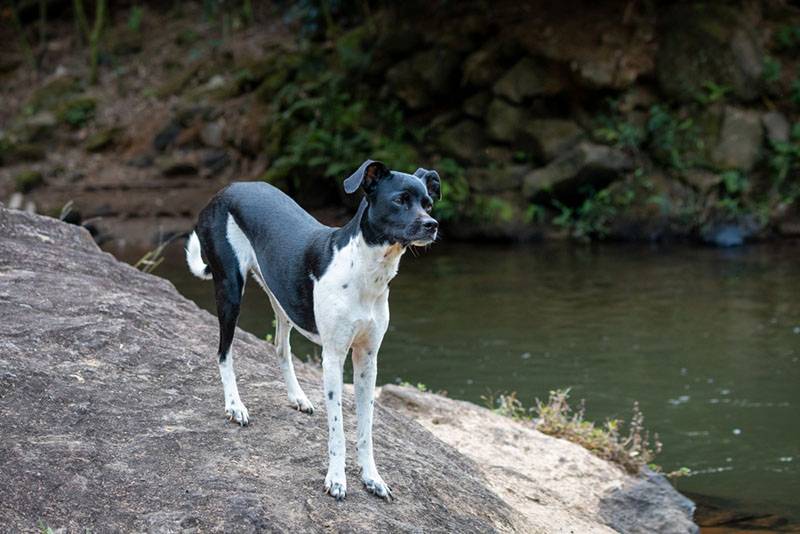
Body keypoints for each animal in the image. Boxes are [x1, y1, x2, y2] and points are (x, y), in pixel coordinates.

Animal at [184, 159, 440, 502]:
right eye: (400, 200)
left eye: (428, 203)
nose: (432, 225)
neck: (364, 270)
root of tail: (227, 189)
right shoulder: (333, 359)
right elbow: (338, 429)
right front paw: (336, 479)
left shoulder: (368, 360)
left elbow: (366, 428)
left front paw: (371, 478)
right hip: (230, 291)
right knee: (224, 353)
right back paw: (235, 406)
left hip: (280, 299)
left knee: (281, 348)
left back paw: (297, 397)